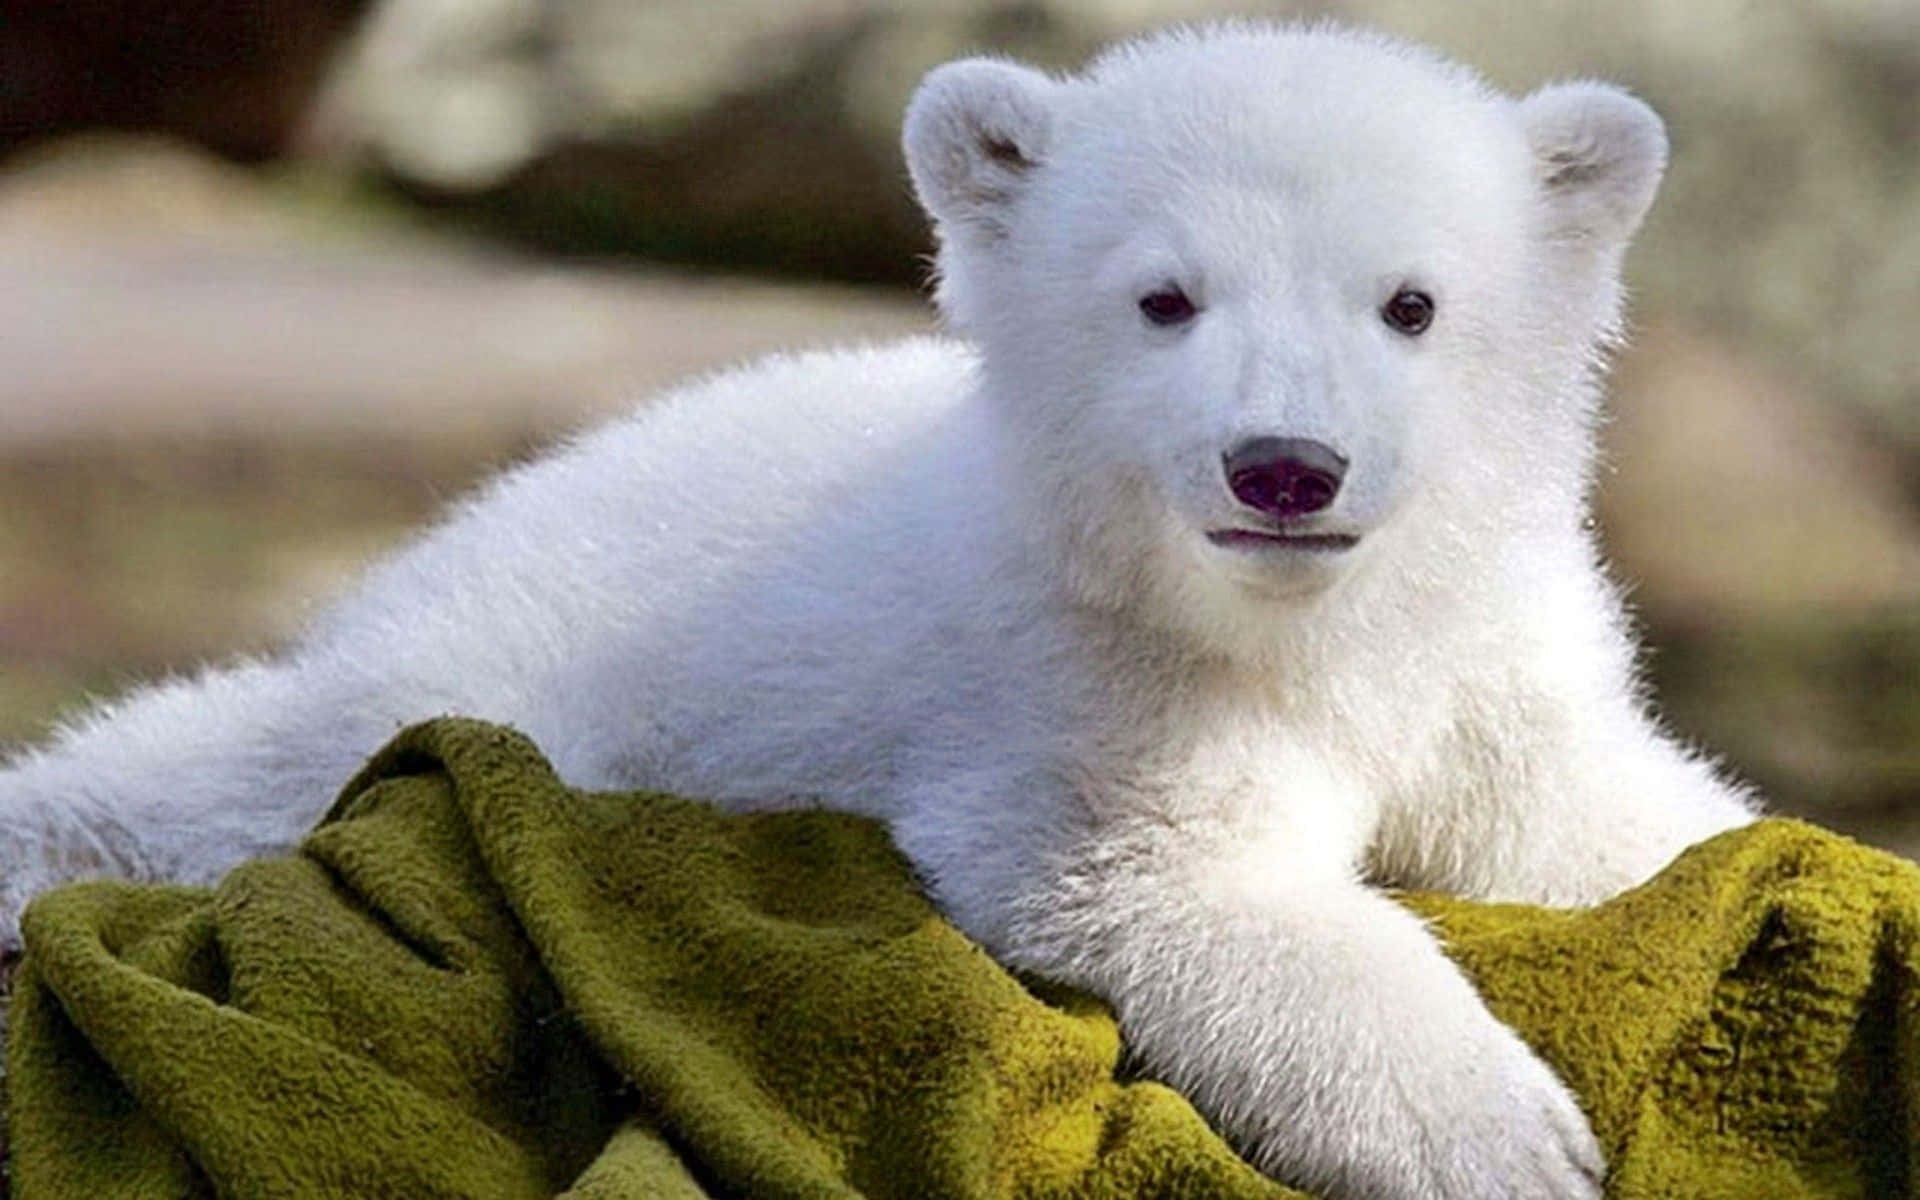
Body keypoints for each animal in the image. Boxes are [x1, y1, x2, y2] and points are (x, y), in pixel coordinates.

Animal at [0, 22, 1756, 1200]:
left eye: (1412, 304)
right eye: (1163, 297)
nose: (1284, 467)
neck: (1297, 624)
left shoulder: (1486, 657)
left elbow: (1614, 817)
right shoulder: (1079, 683)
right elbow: (1176, 882)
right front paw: (1502, 1136)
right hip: (496, 662)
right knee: (244, 762)